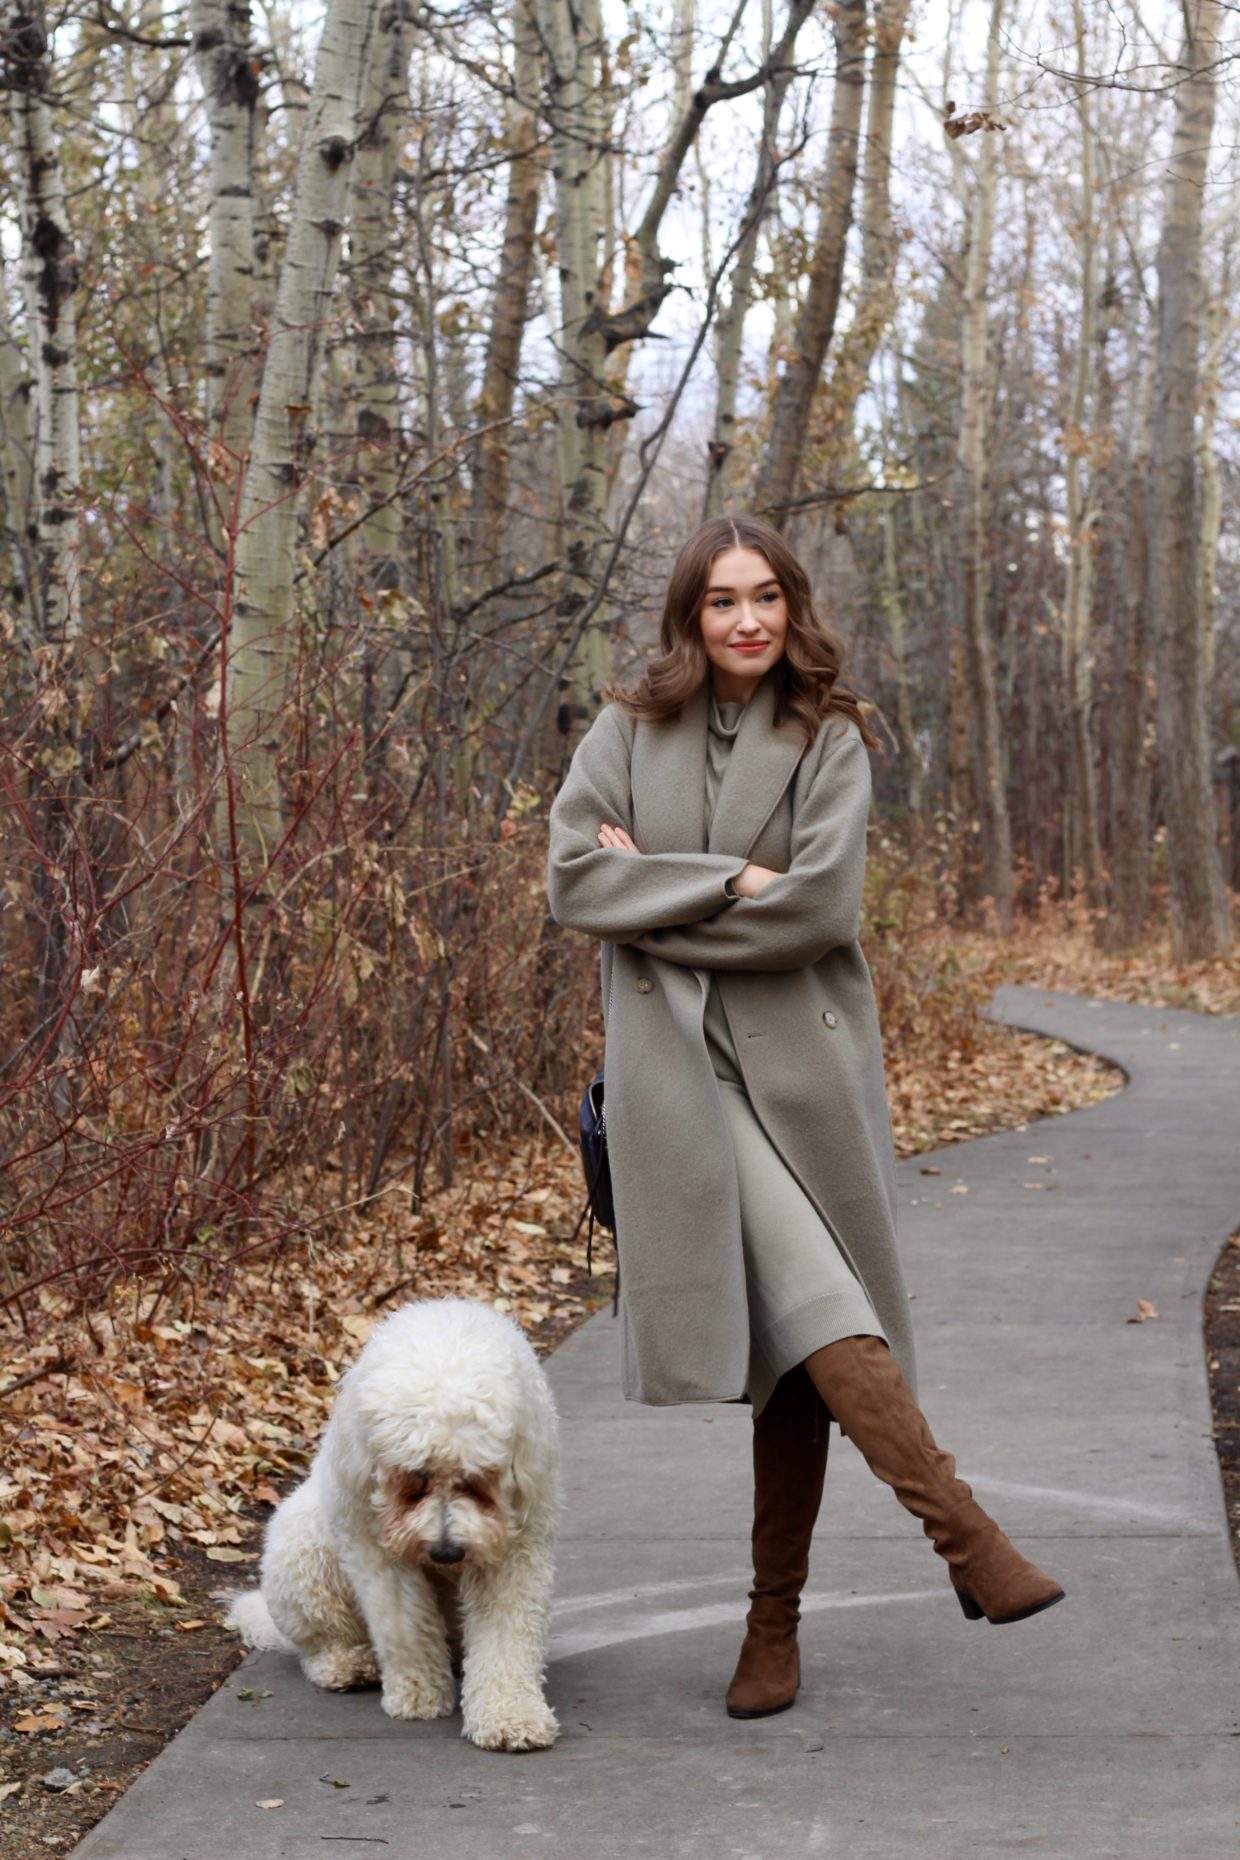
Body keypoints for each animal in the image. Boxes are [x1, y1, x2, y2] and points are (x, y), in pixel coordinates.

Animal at [227, 1302, 561, 1748]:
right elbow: (405, 1625)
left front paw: (510, 1715)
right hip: (305, 1544)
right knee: (321, 1642)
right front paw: (420, 1695)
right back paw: (349, 1664)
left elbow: (507, 1632)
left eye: (475, 1481)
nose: (446, 1552)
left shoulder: (515, 1546)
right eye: (414, 1480)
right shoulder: (376, 1546)